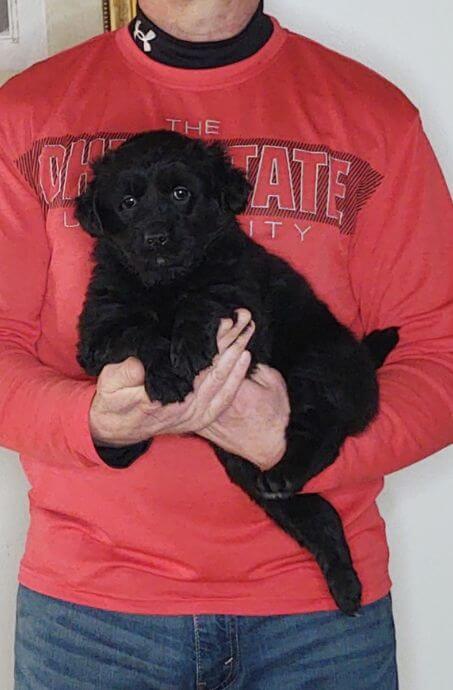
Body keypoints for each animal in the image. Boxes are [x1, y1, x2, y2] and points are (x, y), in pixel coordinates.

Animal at [74, 130, 396, 612]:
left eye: (181, 193)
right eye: (128, 202)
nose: (156, 238)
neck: (165, 283)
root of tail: (363, 360)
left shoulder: (243, 303)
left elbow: (206, 296)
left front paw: (187, 347)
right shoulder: (97, 328)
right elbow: (135, 330)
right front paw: (165, 375)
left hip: (316, 372)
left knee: (324, 433)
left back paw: (289, 471)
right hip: (245, 470)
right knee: (318, 514)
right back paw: (345, 584)